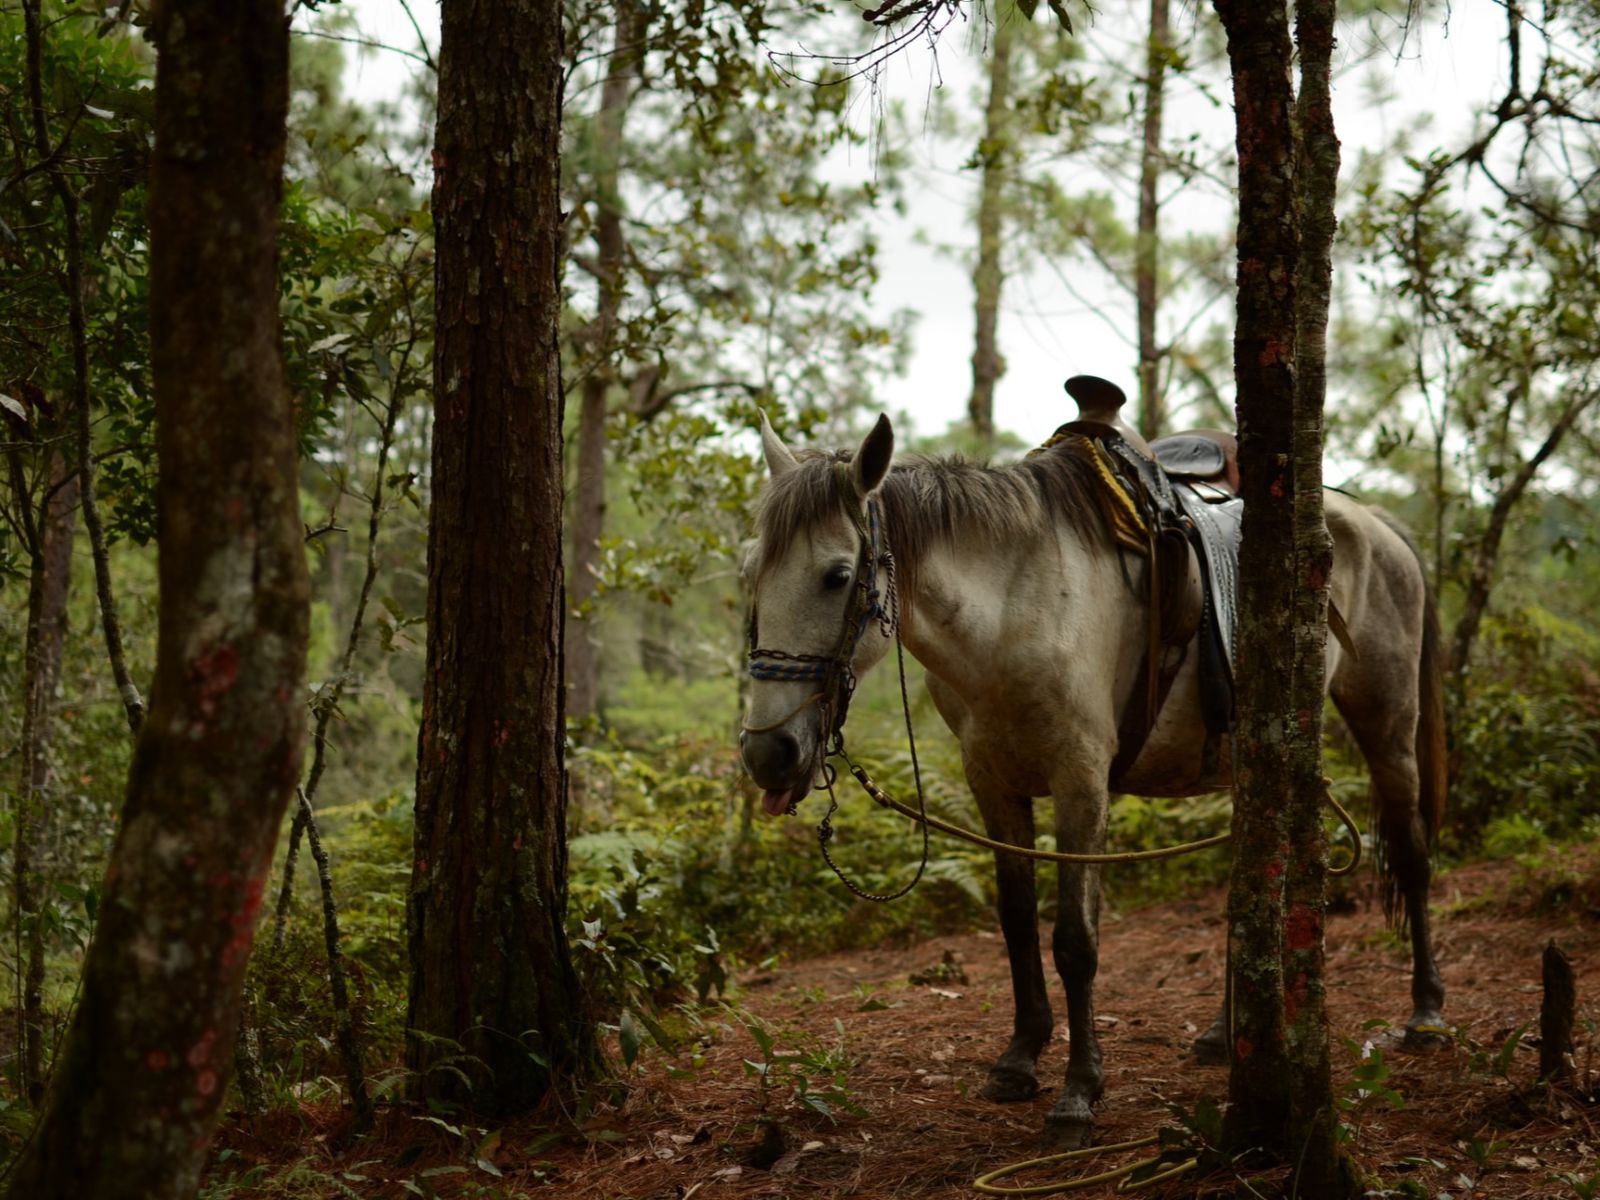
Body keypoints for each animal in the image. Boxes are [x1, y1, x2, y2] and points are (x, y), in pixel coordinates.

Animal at [737, 407, 1447, 1148]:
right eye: (752, 572)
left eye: (837, 575)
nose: (768, 753)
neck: (1014, 610)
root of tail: (1372, 520)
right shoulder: (993, 784)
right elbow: (1018, 922)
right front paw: (1020, 1059)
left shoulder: (1081, 782)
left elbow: (1075, 941)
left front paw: (1079, 1091)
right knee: (1252, 890)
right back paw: (1226, 1035)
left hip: (1388, 724)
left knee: (1412, 855)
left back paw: (1426, 1013)